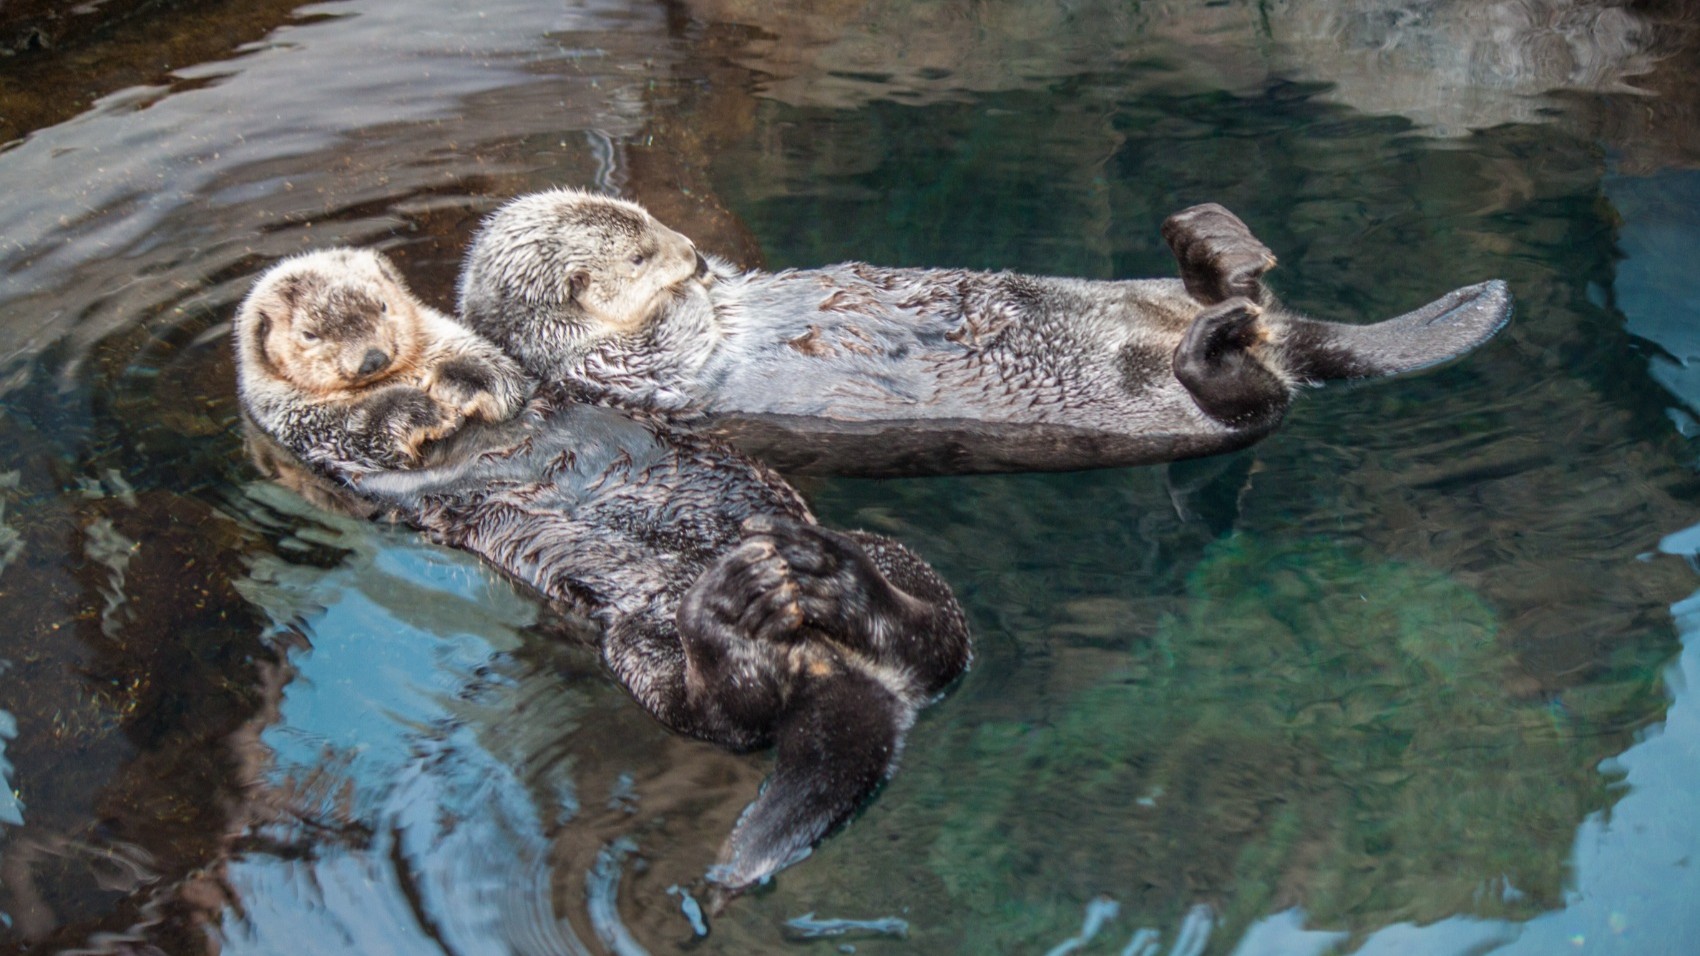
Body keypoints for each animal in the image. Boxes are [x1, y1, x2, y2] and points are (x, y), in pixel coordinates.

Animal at [236, 244, 530, 469]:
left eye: (382, 306)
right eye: (309, 335)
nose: (373, 359)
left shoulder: (448, 338)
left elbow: (501, 370)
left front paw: (459, 383)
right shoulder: (298, 420)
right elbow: (353, 431)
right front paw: (427, 413)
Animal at [455, 188, 1516, 476]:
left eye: (639, 216)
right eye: (635, 251)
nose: (680, 246)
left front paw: (716, 267)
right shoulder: (624, 373)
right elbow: (666, 344)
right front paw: (692, 287)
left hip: (1161, 294)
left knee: (1244, 307)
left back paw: (1215, 247)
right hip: (1206, 415)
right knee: (1252, 402)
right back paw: (1215, 322)